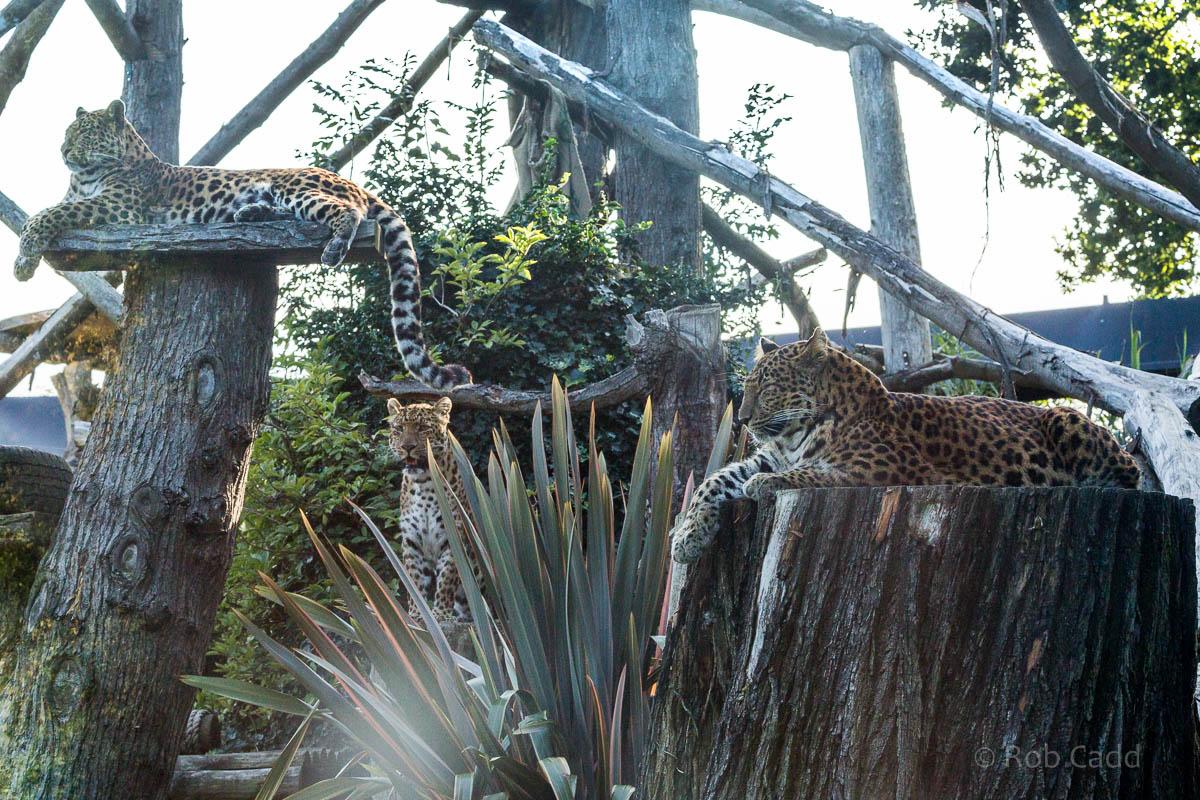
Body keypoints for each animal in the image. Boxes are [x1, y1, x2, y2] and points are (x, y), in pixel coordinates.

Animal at [15, 100, 469, 390]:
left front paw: (25, 255)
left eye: (86, 134)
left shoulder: (117, 207)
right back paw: (248, 213)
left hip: (298, 188)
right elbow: (50, 209)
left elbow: (46, 214)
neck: (84, 177)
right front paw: (25, 257)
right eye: (67, 133)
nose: (64, 150)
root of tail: (351, 181)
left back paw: (333, 247)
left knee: (346, 212)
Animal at [388, 396, 478, 623]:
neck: (424, 483)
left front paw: (440, 614)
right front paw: (416, 614)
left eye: (422, 428)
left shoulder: (454, 535)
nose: (407, 446)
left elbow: (447, 578)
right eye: (399, 428)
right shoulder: (411, 539)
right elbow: (414, 579)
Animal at [670, 328, 1141, 563]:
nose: (743, 421)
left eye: (767, 388)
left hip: (1068, 420)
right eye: (747, 388)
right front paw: (685, 536)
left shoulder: (890, 469)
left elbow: (817, 472)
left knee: (1130, 475)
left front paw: (767, 485)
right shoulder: (765, 456)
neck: (793, 435)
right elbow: (715, 478)